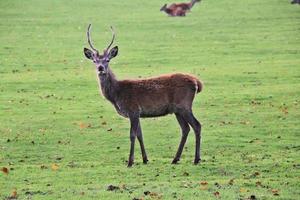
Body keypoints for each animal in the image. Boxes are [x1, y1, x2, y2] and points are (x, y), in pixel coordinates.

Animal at [83, 24, 203, 167]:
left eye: (107, 60)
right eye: (94, 61)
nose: (100, 68)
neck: (117, 95)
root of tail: (197, 82)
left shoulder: (133, 110)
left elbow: (132, 135)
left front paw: (130, 162)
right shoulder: (138, 113)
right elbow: (140, 134)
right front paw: (145, 159)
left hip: (184, 105)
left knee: (197, 125)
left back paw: (196, 159)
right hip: (177, 110)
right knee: (185, 129)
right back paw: (175, 159)